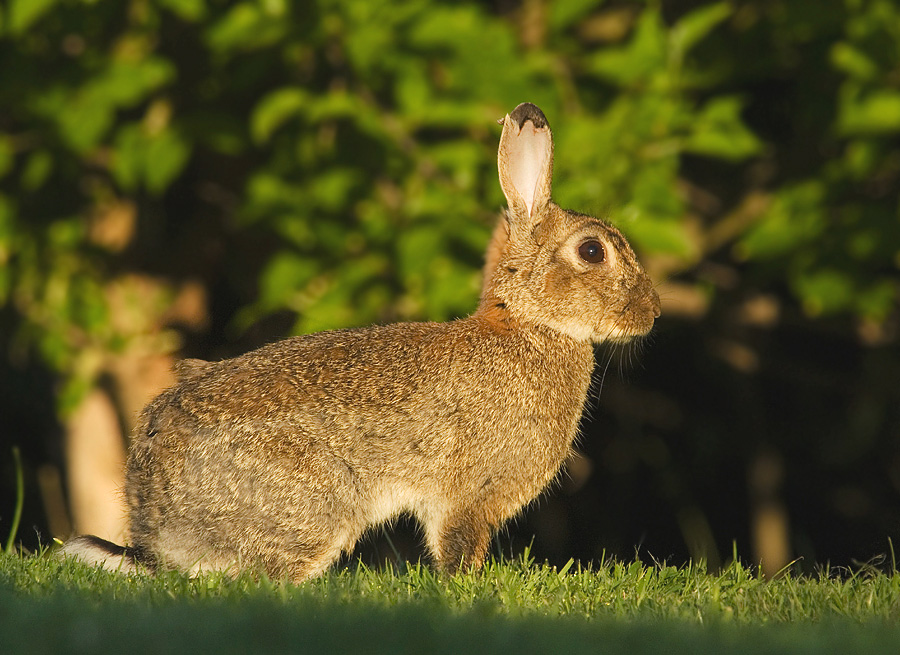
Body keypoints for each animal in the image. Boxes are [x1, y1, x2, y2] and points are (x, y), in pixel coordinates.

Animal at [59, 104, 656, 584]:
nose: (650, 314)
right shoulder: (467, 496)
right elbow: (457, 546)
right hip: (317, 504)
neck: (533, 324)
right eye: (592, 252)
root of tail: (154, 524)